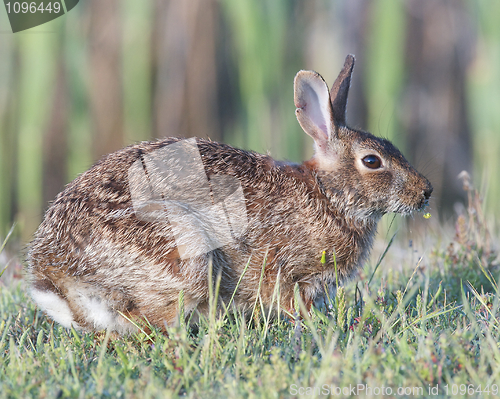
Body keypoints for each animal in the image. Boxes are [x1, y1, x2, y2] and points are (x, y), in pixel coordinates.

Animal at [28, 54, 434, 334]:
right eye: (372, 161)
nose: (426, 192)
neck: (328, 196)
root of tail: (57, 277)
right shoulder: (283, 269)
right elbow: (287, 299)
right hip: (184, 253)